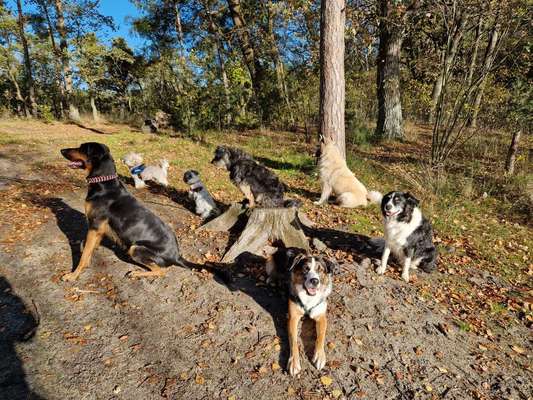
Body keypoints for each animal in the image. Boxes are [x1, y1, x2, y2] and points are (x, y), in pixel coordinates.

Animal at [59, 142, 189, 280]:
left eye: (82, 148)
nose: (62, 150)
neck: (104, 185)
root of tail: (176, 256)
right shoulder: (99, 229)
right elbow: (88, 249)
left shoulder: (95, 226)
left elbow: (84, 254)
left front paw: (73, 275)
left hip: (135, 248)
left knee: (161, 271)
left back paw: (136, 273)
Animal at [264, 247, 336, 376]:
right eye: (305, 268)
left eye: (320, 270)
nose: (315, 281)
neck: (308, 296)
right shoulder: (293, 318)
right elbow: (293, 340)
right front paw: (294, 363)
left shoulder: (321, 317)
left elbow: (321, 336)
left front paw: (319, 356)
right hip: (269, 262)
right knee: (271, 273)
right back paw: (272, 279)